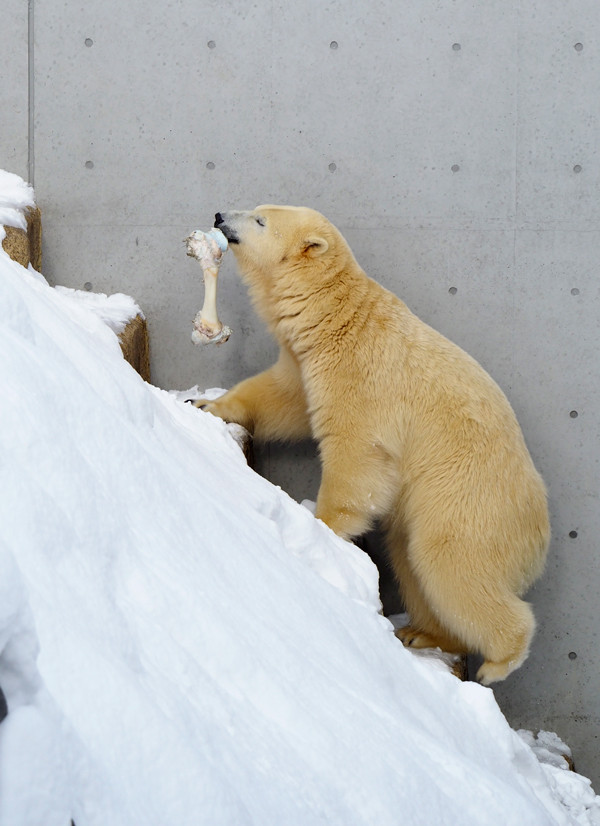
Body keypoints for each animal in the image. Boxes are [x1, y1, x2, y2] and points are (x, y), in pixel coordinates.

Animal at [195, 206, 552, 684]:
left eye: (259, 221)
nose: (220, 215)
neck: (335, 315)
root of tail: (539, 532)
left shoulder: (359, 372)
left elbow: (356, 454)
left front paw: (319, 527)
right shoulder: (305, 362)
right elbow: (283, 398)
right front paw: (207, 404)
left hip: (470, 501)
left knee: (449, 565)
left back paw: (497, 662)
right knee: (411, 561)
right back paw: (422, 634)